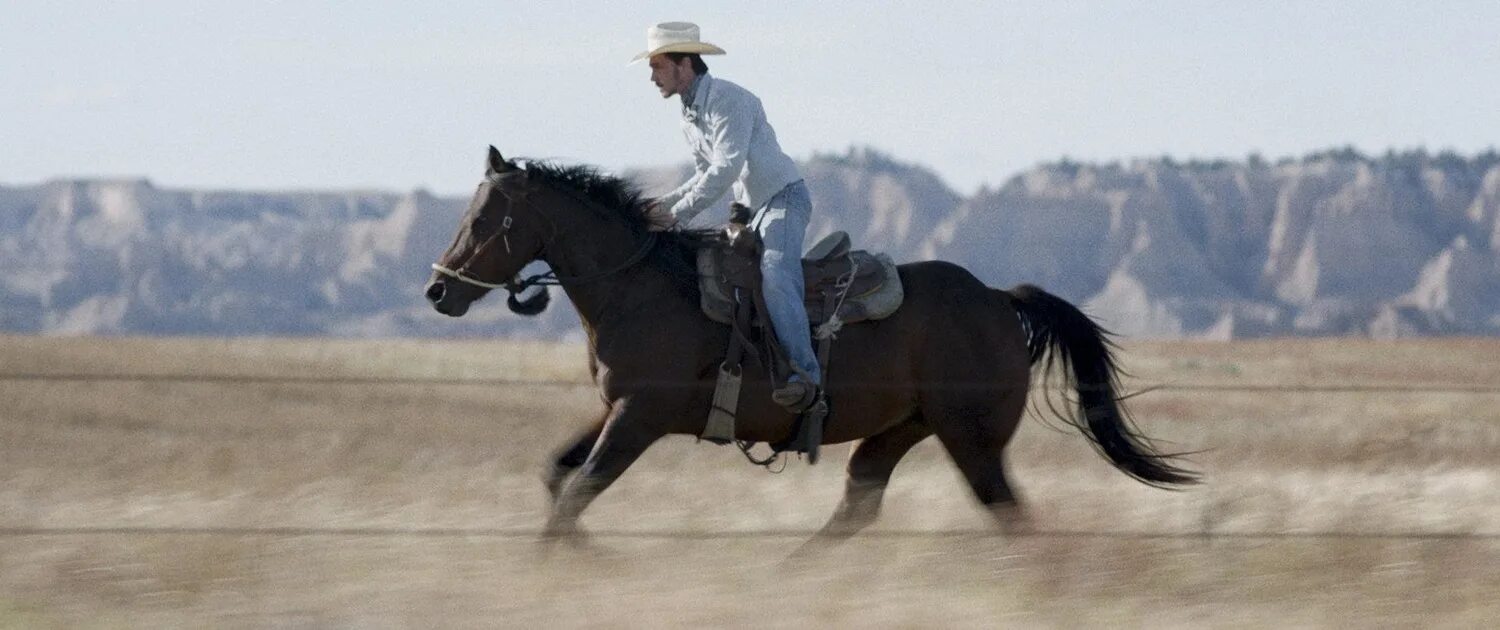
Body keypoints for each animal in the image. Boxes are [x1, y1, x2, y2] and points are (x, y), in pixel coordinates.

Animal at [426, 147, 1194, 537]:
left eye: (487, 216)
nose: (438, 290)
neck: (641, 288)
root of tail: (999, 300)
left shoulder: (640, 417)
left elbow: (578, 490)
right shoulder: (615, 409)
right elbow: (558, 477)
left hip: (971, 438)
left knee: (1008, 516)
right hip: (902, 430)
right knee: (859, 506)